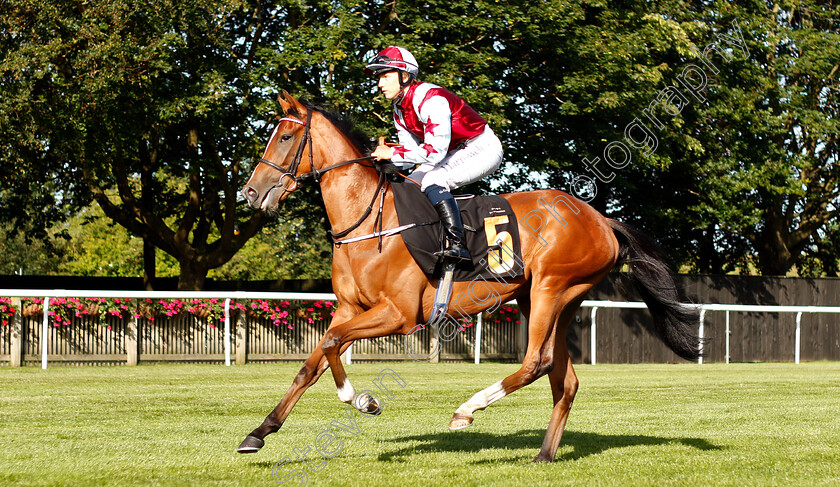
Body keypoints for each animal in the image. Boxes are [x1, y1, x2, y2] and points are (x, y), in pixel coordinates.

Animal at [240, 92, 700, 466]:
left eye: (285, 137)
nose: (250, 191)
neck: (368, 220)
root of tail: (603, 221)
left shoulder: (400, 315)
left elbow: (334, 345)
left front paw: (363, 400)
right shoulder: (350, 307)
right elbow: (312, 363)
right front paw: (259, 433)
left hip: (551, 288)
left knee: (536, 362)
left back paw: (466, 410)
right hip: (552, 299)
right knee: (563, 378)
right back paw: (544, 454)